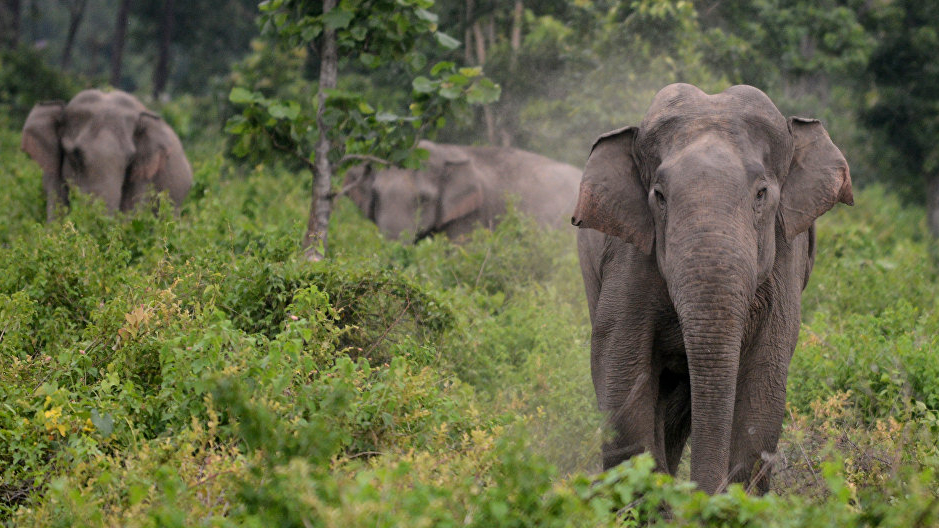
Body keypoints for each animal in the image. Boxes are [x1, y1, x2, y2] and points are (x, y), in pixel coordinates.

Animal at [568, 83, 856, 496]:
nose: (704, 495)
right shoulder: (628, 256)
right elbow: (619, 361)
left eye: (761, 194)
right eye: (659, 196)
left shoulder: (786, 253)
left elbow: (764, 377)